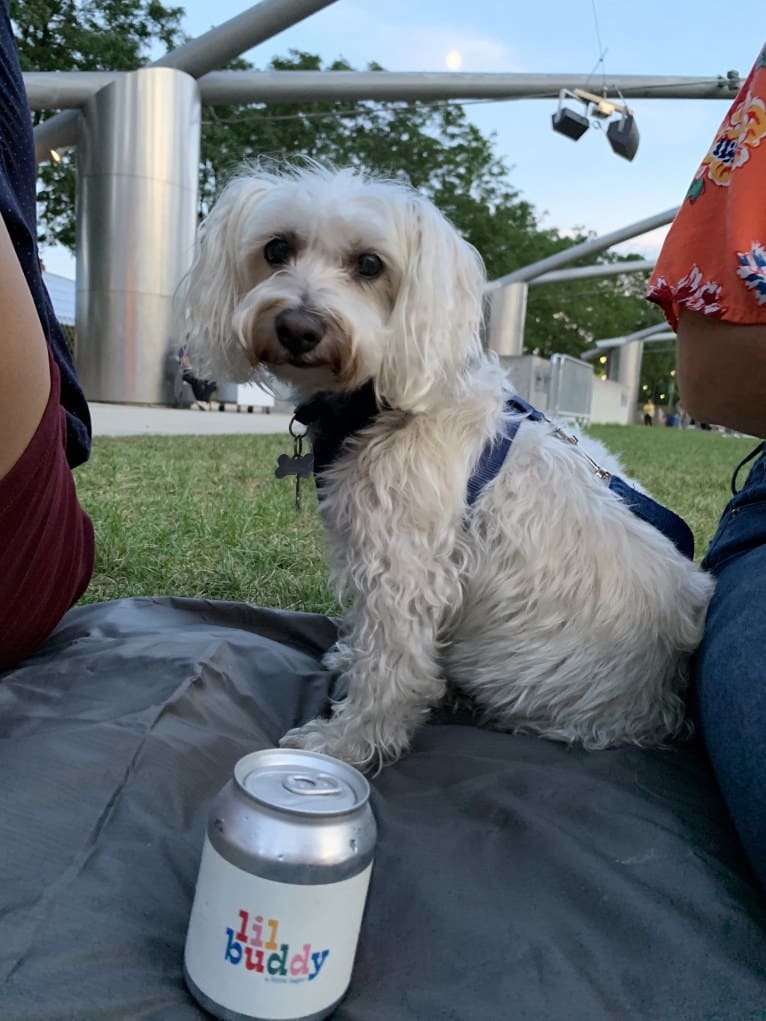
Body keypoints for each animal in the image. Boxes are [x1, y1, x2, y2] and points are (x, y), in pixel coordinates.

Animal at [182, 165, 719, 771]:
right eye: (276, 249)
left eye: (370, 264)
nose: (298, 327)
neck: (384, 404)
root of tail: (665, 704)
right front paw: (347, 666)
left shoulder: (404, 570)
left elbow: (391, 668)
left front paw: (344, 745)